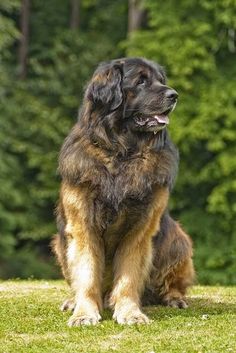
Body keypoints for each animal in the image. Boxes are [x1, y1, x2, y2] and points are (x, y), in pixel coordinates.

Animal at [52, 57, 195, 324]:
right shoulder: (82, 224)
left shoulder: (140, 228)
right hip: (60, 243)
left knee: (171, 282)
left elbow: (129, 276)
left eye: (161, 80)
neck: (122, 152)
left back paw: (174, 298)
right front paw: (84, 312)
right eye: (141, 81)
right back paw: (74, 300)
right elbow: (86, 272)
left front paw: (130, 313)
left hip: (178, 240)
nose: (174, 95)